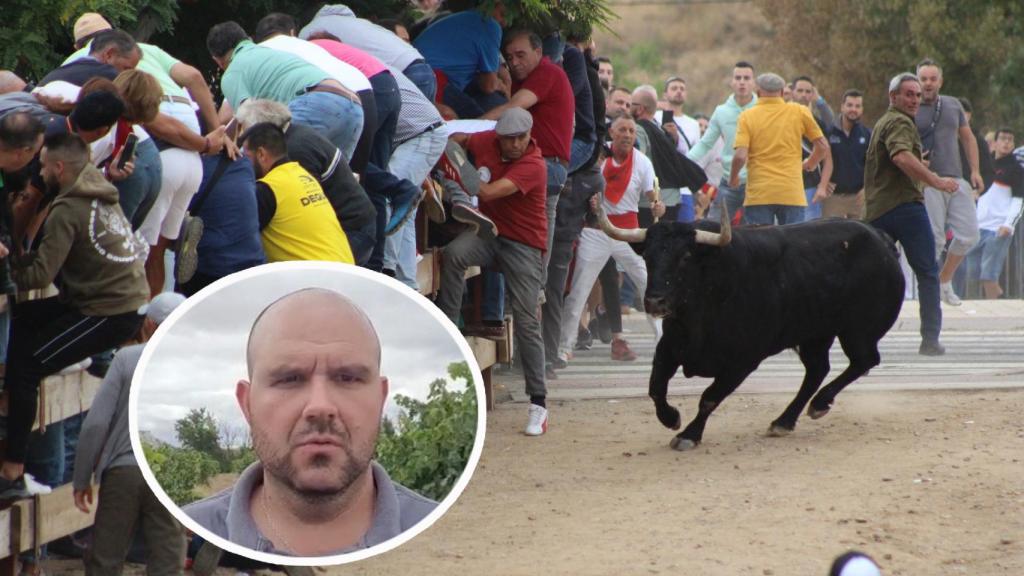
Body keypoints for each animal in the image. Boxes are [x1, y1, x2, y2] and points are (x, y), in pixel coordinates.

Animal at [598, 211, 905, 448]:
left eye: (685, 256)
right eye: (647, 257)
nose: (654, 301)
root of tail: (881, 239)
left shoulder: (742, 362)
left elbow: (709, 398)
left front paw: (689, 435)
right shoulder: (669, 348)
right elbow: (656, 388)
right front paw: (671, 418)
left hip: (858, 331)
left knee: (864, 360)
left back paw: (819, 404)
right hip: (815, 335)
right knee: (818, 370)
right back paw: (784, 421)